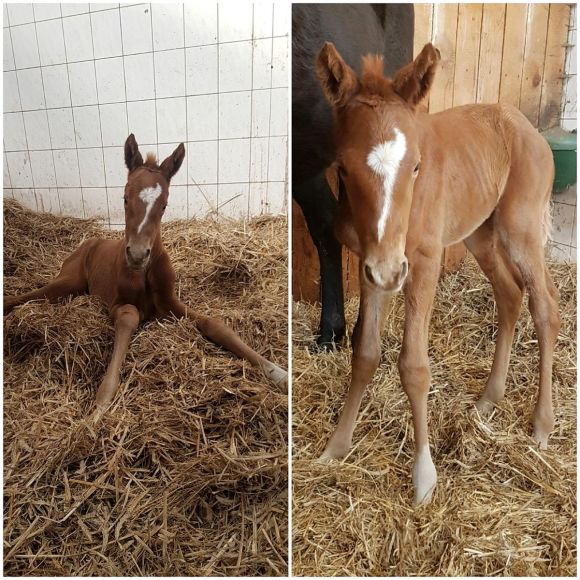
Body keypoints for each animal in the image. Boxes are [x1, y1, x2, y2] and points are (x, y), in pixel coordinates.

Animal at [3, 134, 286, 410]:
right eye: (125, 197)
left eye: (164, 205)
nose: (137, 255)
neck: (144, 274)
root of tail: (90, 241)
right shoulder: (118, 303)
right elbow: (130, 315)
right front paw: (101, 405)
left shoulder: (169, 303)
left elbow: (214, 323)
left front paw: (278, 372)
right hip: (66, 282)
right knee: (25, 297)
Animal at [314, 43, 560, 502]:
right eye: (343, 168)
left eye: (415, 166)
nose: (390, 268)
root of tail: (527, 127)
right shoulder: (373, 265)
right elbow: (366, 354)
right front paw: (336, 447)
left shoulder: (422, 261)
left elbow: (414, 366)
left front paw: (424, 477)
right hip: (479, 233)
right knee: (509, 293)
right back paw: (487, 401)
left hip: (520, 228)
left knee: (545, 307)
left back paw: (541, 426)